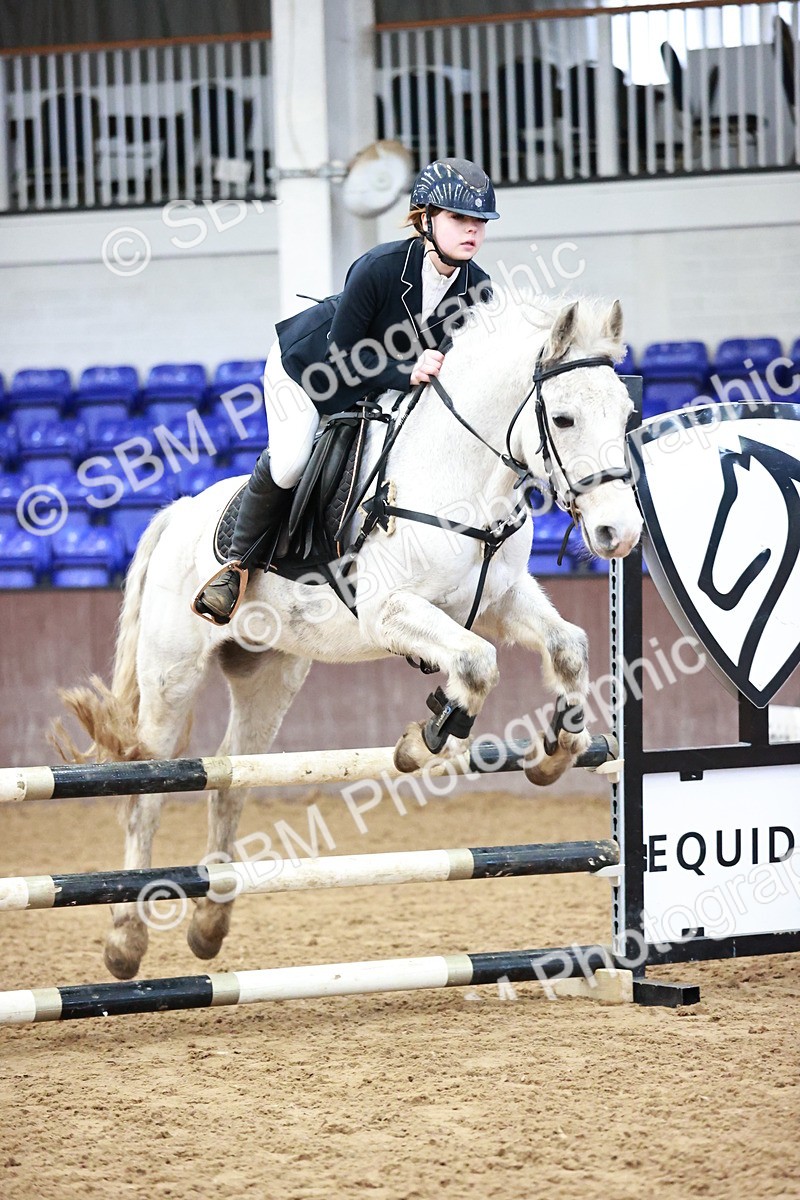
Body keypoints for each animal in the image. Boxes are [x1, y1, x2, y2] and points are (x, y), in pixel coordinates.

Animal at [58, 291, 643, 980]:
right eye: (565, 417)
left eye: (628, 414)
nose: (620, 534)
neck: (460, 477)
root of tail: (178, 513)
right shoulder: (389, 609)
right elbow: (477, 663)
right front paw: (425, 741)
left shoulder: (501, 600)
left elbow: (567, 645)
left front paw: (557, 749)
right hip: (171, 674)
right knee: (148, 790)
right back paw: (126, 940)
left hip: (269, 676)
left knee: (227, 780)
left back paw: (209, 924)